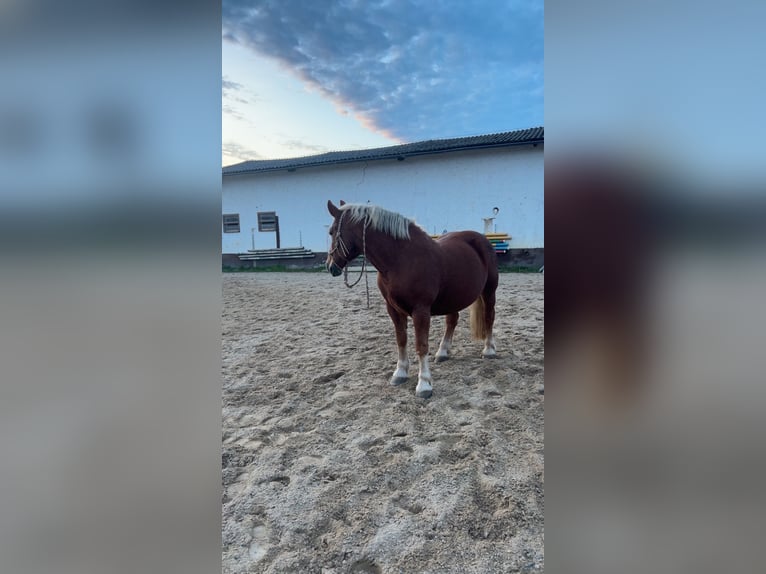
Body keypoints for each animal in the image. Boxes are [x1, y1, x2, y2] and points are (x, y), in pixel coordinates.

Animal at [326, 200, 499, 398]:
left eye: (331, 231)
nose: (330, 266)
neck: (401, 260)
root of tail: (482, 239)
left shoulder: (420, 311)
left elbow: (421, 345)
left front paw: (424, 385)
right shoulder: (392, 309)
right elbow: (401, 340)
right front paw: (400, 373)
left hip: (489, 291)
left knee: (489, 317)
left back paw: (489, 350)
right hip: (454, 296)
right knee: (452, 321)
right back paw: (443, 352)